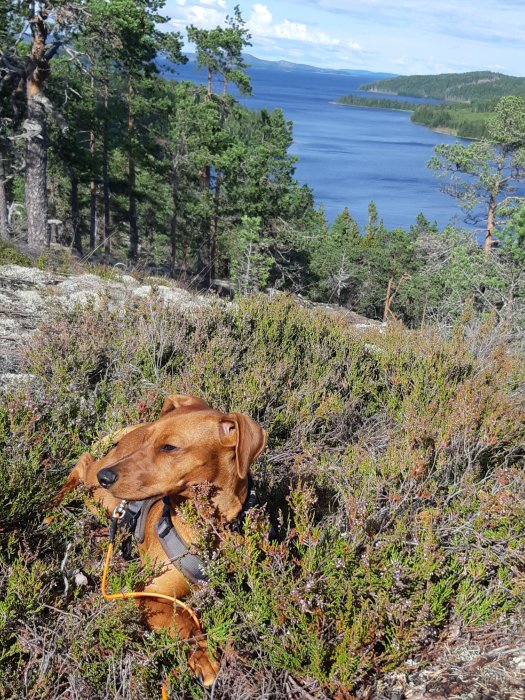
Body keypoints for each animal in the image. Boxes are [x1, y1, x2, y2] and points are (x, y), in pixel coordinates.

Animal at [56, 396, 266, 688]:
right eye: (149, 441)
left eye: (169, 447)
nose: (106, 477)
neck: (210, 526)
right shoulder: (148, 593)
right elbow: (184, 621)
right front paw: (203, 656)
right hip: (96, 494)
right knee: (84, 461)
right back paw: (52, 505)